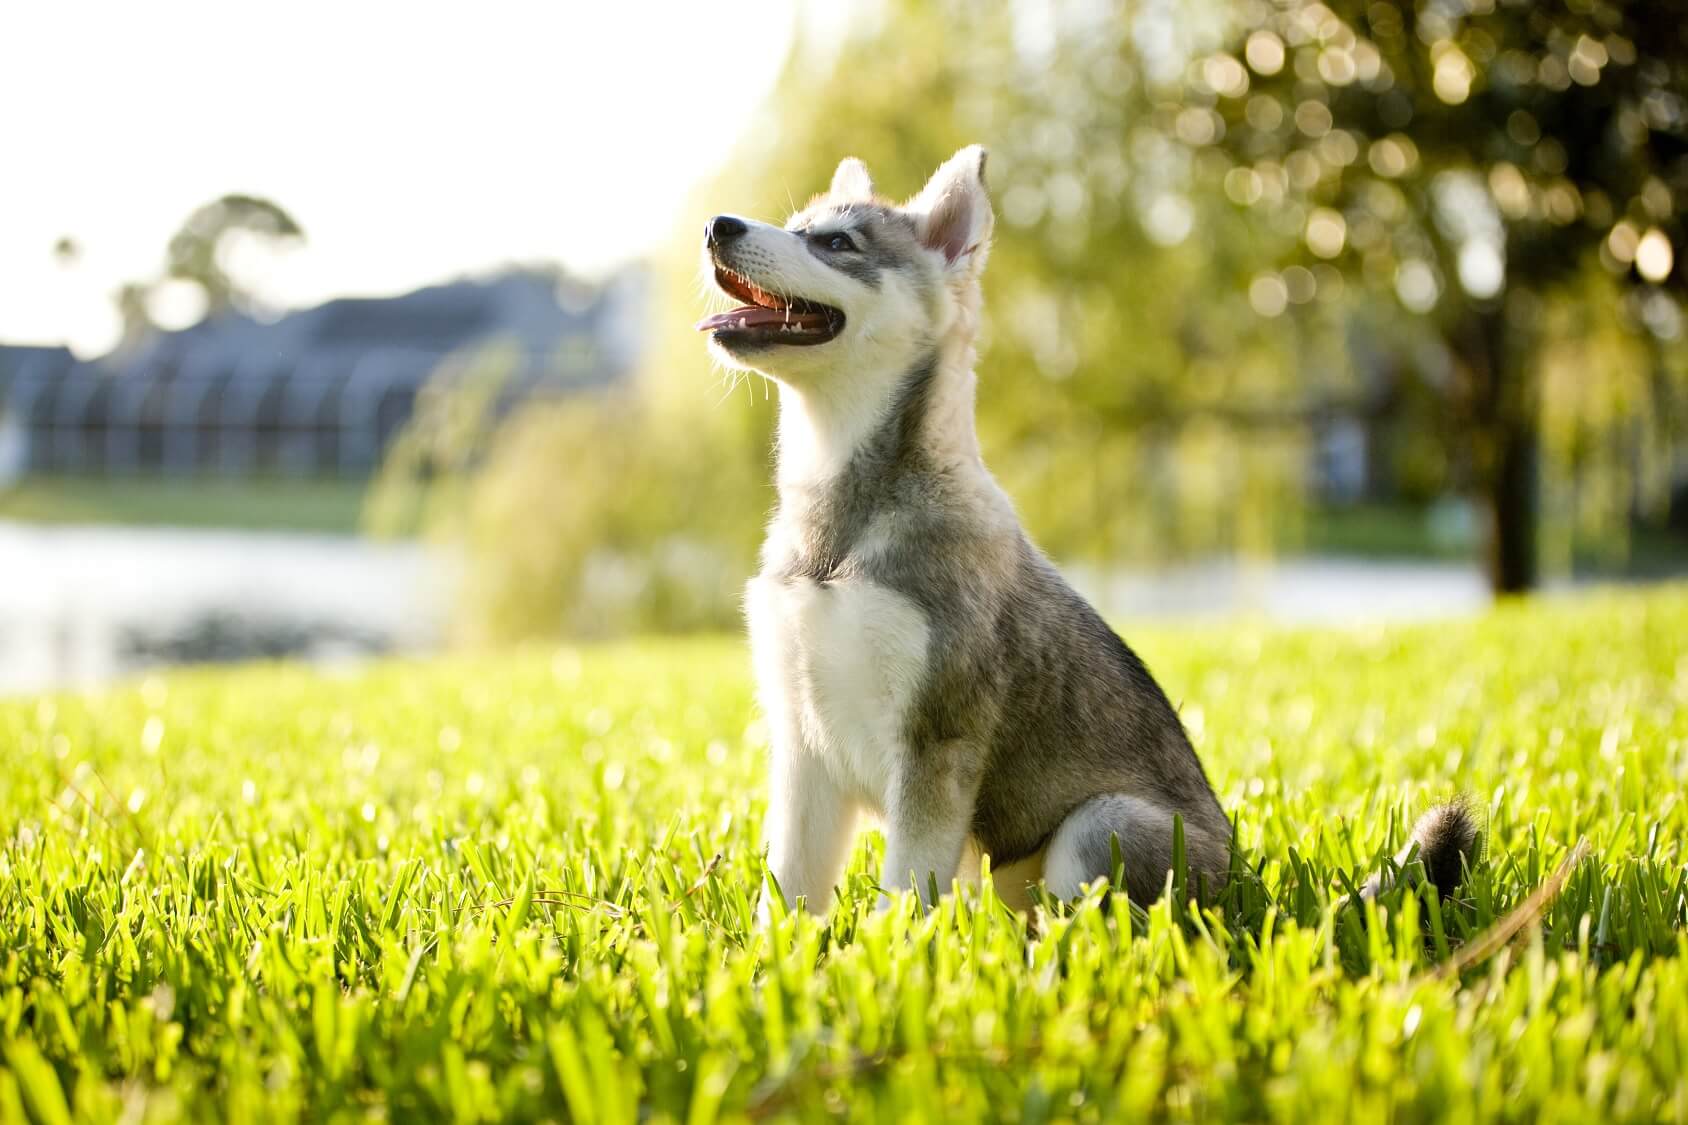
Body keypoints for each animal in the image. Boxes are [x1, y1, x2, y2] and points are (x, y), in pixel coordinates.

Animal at [692, 144, 1471, 912]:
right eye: (799, 225)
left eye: (836, 242)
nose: (717, 225)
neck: (840, 524)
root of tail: (1253, 895)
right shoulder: (802, 746)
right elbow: (786, 895)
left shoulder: (936, 745)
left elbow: (905, 897)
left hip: (1103, 825)